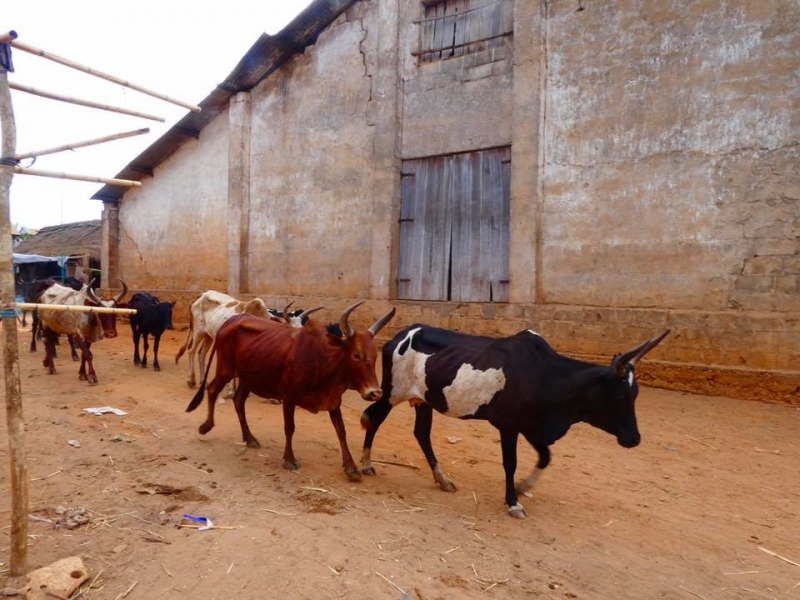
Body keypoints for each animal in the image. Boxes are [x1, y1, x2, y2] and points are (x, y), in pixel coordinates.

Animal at [188, 302, 400, 480]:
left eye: (375, 356)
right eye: (356, 355)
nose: (375, 392)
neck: (323, 360)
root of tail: (230, 321)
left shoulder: (333, 401)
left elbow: (341, 431)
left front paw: (351, 467)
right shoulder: (289, 398)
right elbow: (289, 428)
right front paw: (289, 459)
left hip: (248, 378)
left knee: (239, 401)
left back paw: (249, 438)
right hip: (226, 369)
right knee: (212, 389)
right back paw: (206, 426)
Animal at [358, 326, 668, 516]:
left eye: (635, 394)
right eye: (619, 395)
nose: (634, 438)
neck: (548, 376)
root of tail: (400, 335)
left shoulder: (532, 428)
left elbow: (545, 457)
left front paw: (523, 487)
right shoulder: (509, 426)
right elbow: (511, 463)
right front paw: (513, 501)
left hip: (423, 401)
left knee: (421, 433)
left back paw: (442, 478)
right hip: (393, 393)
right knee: (372, 418)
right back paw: (366, 463)